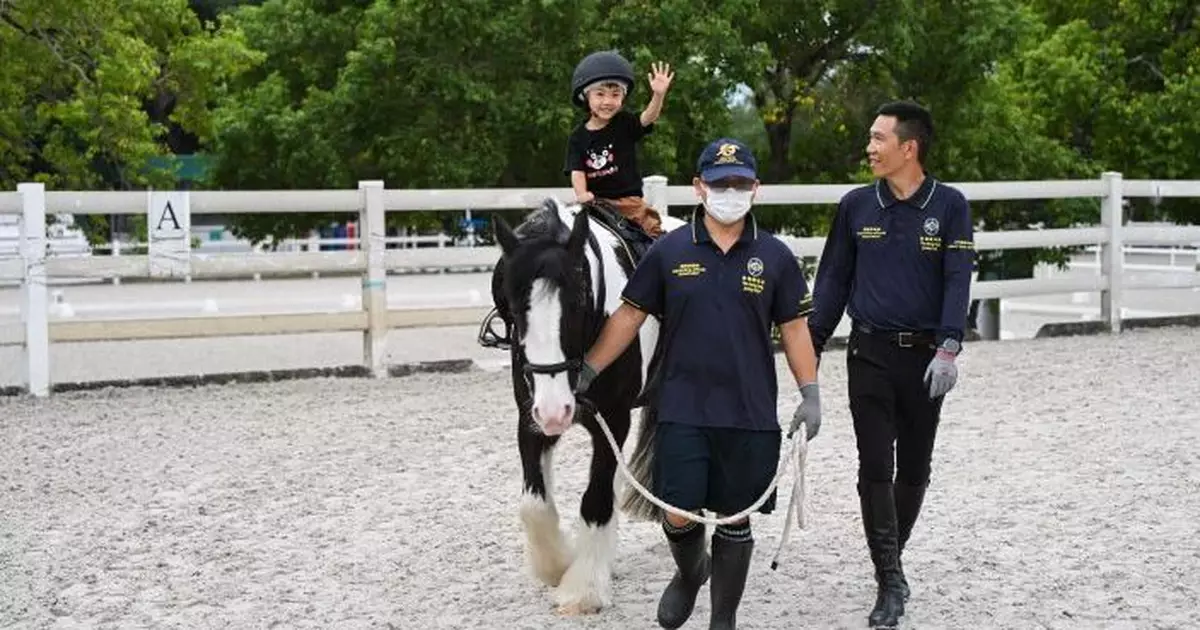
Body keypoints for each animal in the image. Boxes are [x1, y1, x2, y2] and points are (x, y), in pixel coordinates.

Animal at [492, 199, 686, 612]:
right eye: (513, 307)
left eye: (579, 300)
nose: (556, 411)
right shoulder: (530, 417)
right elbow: (534, 504)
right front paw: (557, 564)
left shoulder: (612, 419)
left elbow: (595, 500)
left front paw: (584, 589)